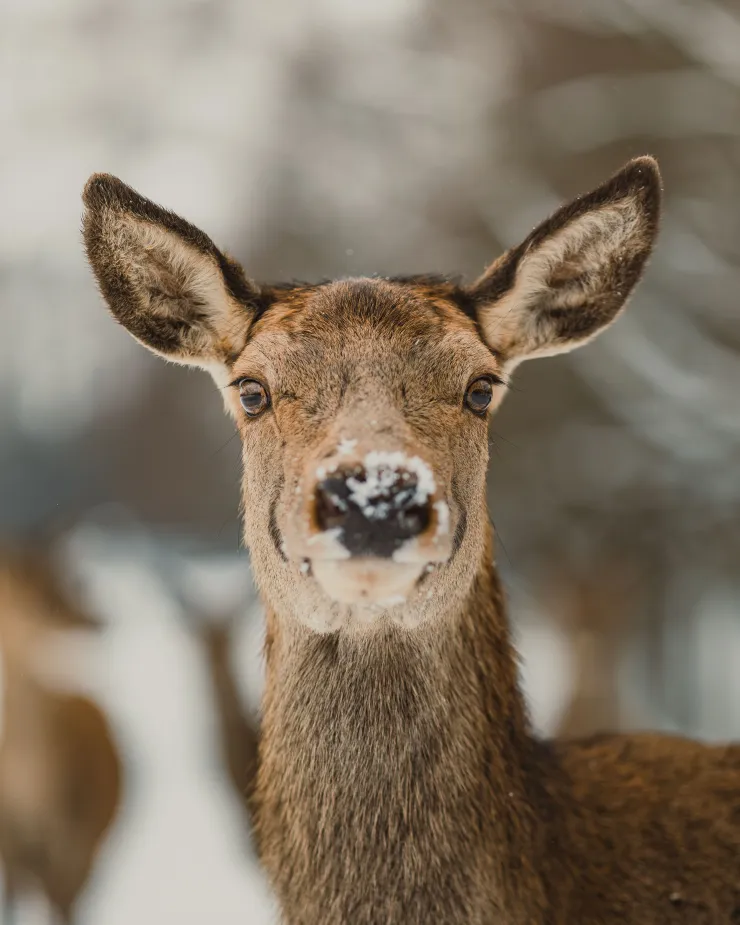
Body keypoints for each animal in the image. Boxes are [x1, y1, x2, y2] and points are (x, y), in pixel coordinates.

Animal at [0, 548, 123, 924]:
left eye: (62, 584)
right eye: (43, 600)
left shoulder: (73, 854)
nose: (99, 620)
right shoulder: (10, 854)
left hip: (95, 850)